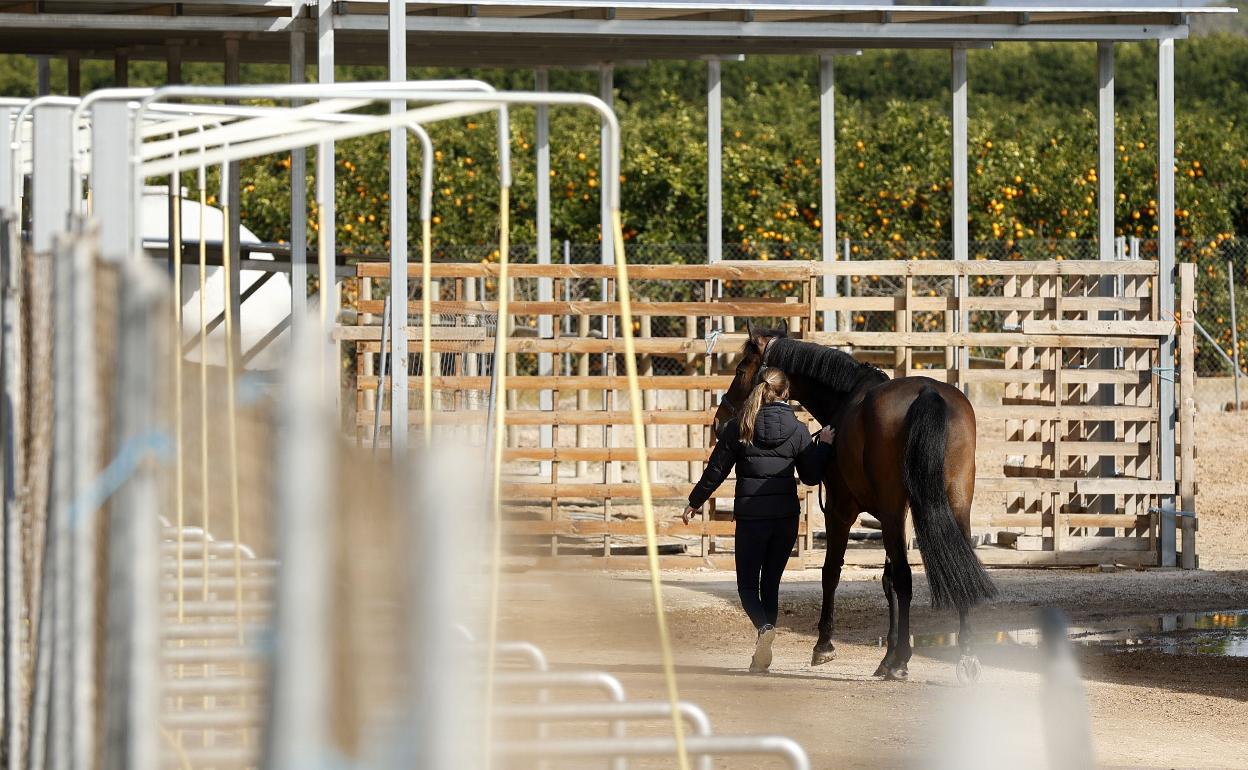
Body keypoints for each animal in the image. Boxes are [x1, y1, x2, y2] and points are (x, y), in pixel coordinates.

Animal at [713, 324, 993, 678]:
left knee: (905, 577)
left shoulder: (840, 510)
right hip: (955, 505)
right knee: (958, 568)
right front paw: (886, 656)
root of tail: (928, 392)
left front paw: (825, 646)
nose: (720, 421)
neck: (845, 400)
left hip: (890, 510)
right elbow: (887, 580)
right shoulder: (897, 516)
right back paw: (964, 654)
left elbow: (832, 572)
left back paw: (903, 660)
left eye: (739, 370)